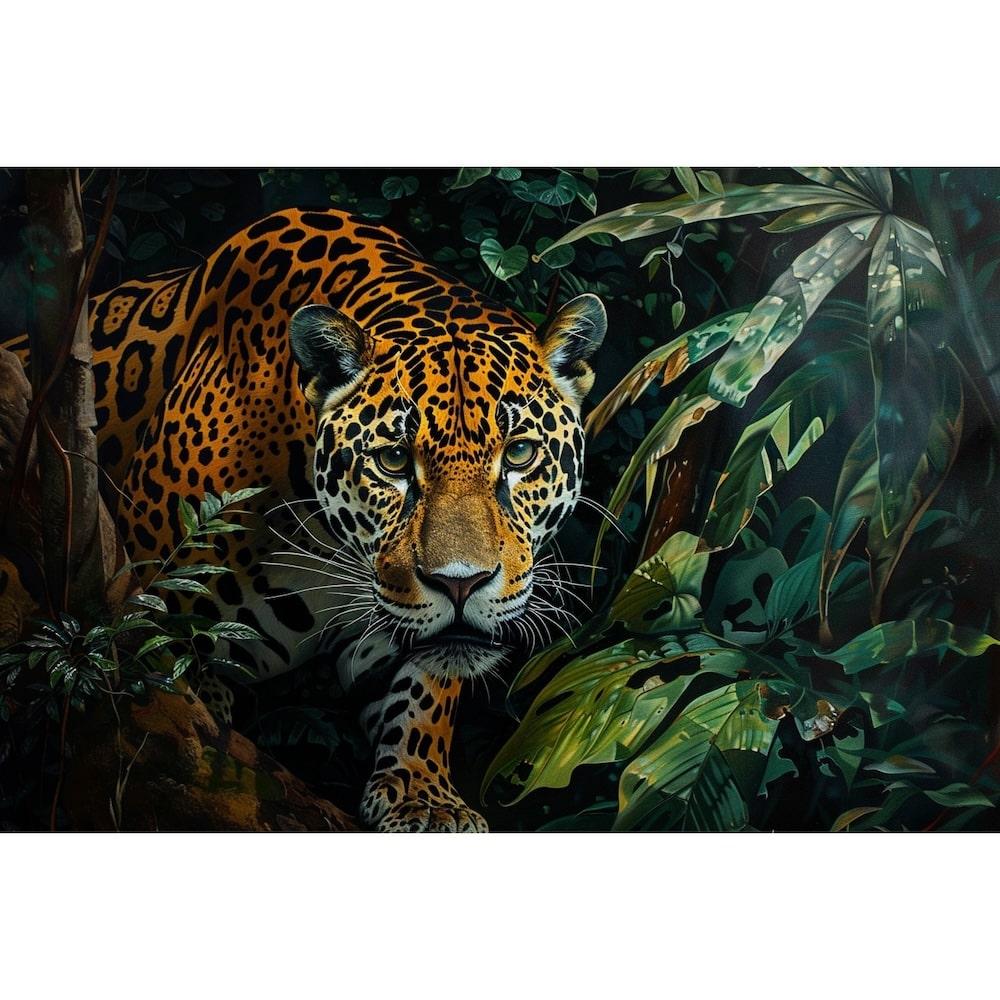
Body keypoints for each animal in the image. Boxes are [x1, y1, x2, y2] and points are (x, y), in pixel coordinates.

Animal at [5, 207, 606, 831]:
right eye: (394, 460)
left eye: (519, 454)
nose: (461, 584)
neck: (324, 542)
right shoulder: (160, 618)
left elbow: (426, 686)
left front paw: (424, 797)